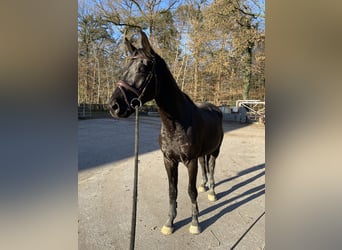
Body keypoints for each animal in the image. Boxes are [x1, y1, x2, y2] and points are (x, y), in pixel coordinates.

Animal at [107, 31, 224, 234]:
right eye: (126, 67)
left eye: (143, 68)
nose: (114, 106)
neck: (176, 124)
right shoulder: (169, 160)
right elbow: (172, 190)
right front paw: (170, 222)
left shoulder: (190, 161)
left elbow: (190, 191)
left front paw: (195, 223)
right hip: (203, 153)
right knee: (205, 165)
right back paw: (205, 185)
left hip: (215, 151)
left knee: (211, 167)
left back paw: (212, 191)